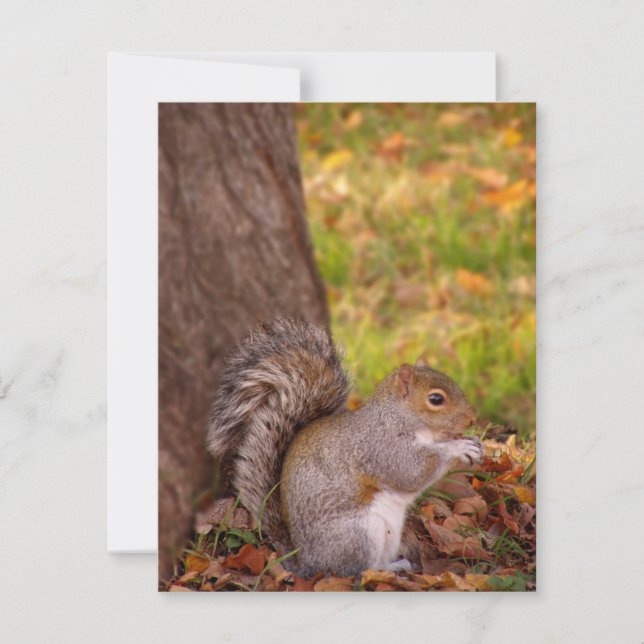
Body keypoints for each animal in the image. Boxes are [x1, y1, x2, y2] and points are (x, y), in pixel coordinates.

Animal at [206, 318, 482, 578]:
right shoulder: (381, 446)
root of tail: (307, 563)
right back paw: (390, 569)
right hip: (359, 533)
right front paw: (458, 448)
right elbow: (410, 471)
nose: (471, 419)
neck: (399, 416)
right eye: (436, 399)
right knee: (356, 570)